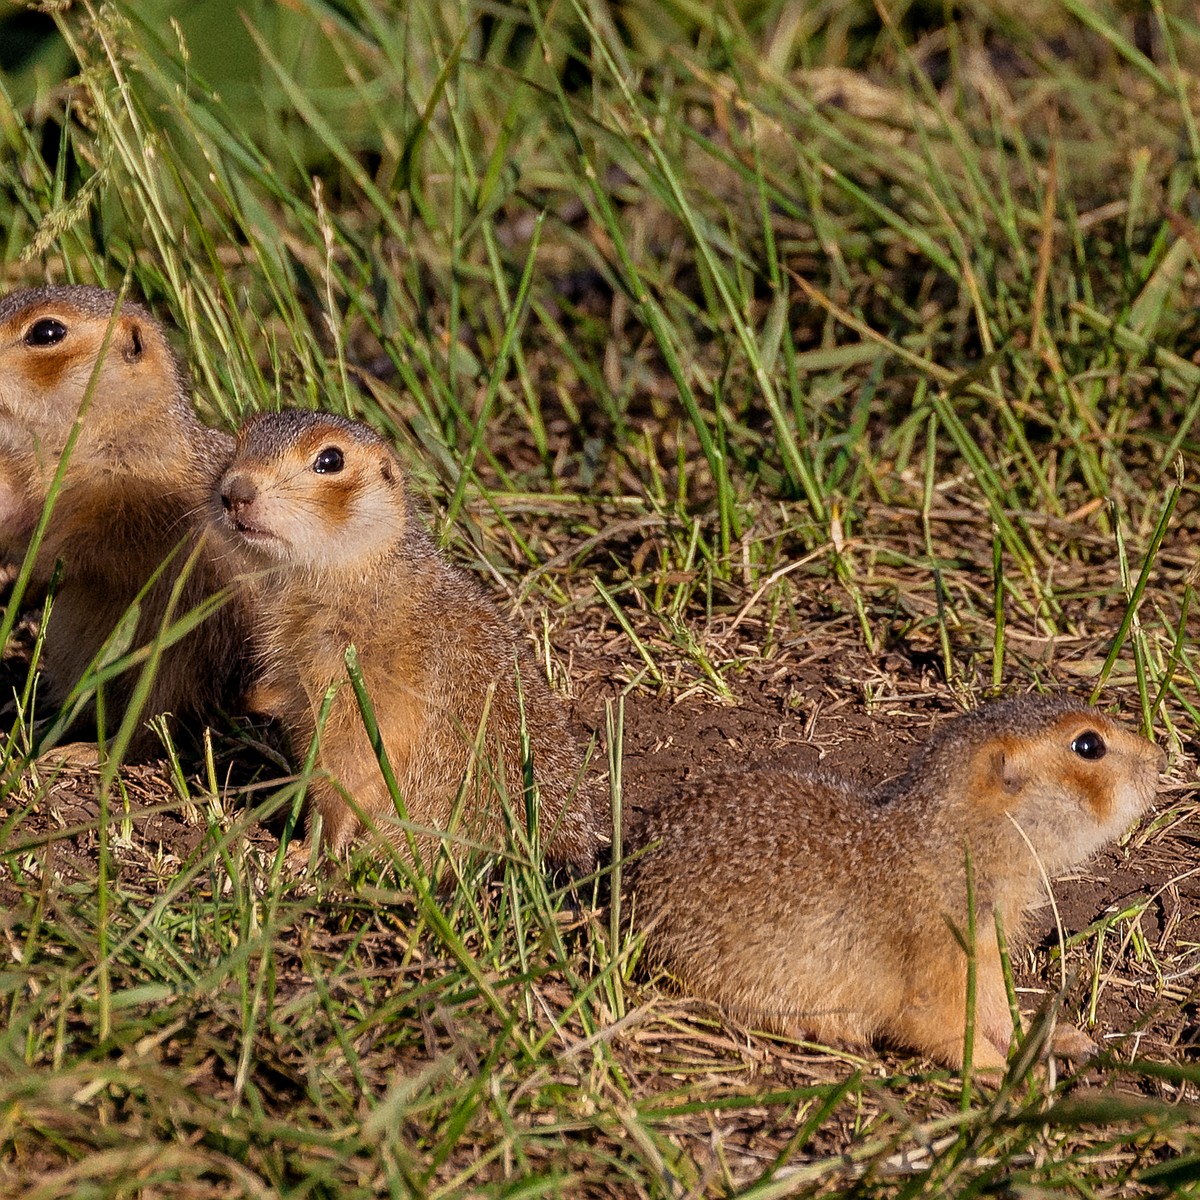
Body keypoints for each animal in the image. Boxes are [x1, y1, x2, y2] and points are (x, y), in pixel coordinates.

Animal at [0, 285, 248, 744]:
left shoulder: (130, 504)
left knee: (150, 724)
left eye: (46, 332)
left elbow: (90, 541)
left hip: (175, 659)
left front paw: (32, 569)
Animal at [208, 410, 609, 873]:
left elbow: (350, 771)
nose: (235, 492)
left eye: (330, 460)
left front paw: (306, 852)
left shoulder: (369, 689)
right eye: (239, 440)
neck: (362, 575)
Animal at [624, 696, 1166, 1070]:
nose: (1160, 756)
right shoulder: (936, 949)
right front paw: (1005, 1074)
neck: (949, 845)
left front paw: (1057, 1038)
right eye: (1088, 745)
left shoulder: (984, 946)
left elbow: (994, 1007)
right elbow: (936, 1021)